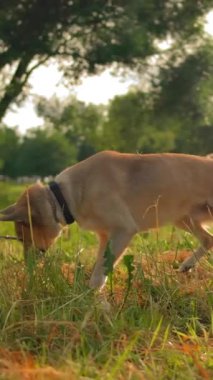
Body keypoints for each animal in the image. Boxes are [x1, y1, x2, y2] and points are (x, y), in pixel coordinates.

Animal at [0, 151, 213, 288]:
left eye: (22, 237)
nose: (27, 265)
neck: (62, 197)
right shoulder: (105, 237)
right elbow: (99, 268)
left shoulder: (123, 230)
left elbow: (97, 276)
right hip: (183, 219)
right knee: (208, 240)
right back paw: (188, 264)